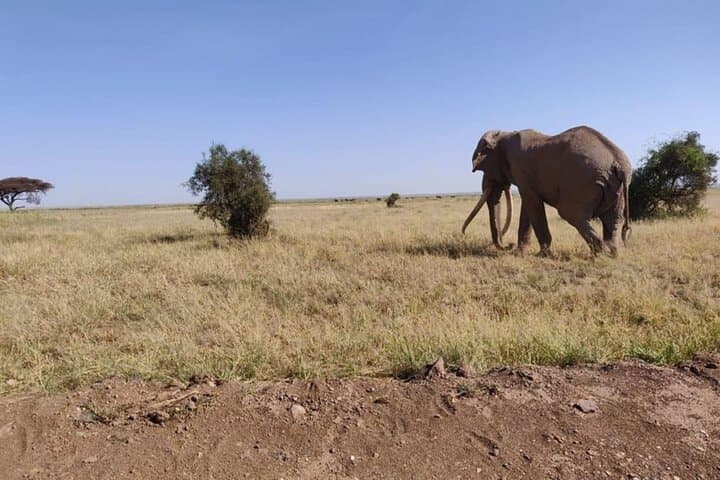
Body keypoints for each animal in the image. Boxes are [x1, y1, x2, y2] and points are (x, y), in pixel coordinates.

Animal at [462, 126, 632, 255]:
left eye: (485, 168)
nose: (508, 245)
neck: (504, 134)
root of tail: (619, 164)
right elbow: (528, 205)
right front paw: (522, 252)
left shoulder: (520, 168)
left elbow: (532, 202)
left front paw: (540, 254)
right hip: (615, 187)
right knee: (613, 219)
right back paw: (612, 253)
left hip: (582, 182)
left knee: (571, 213)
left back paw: (600, 254)